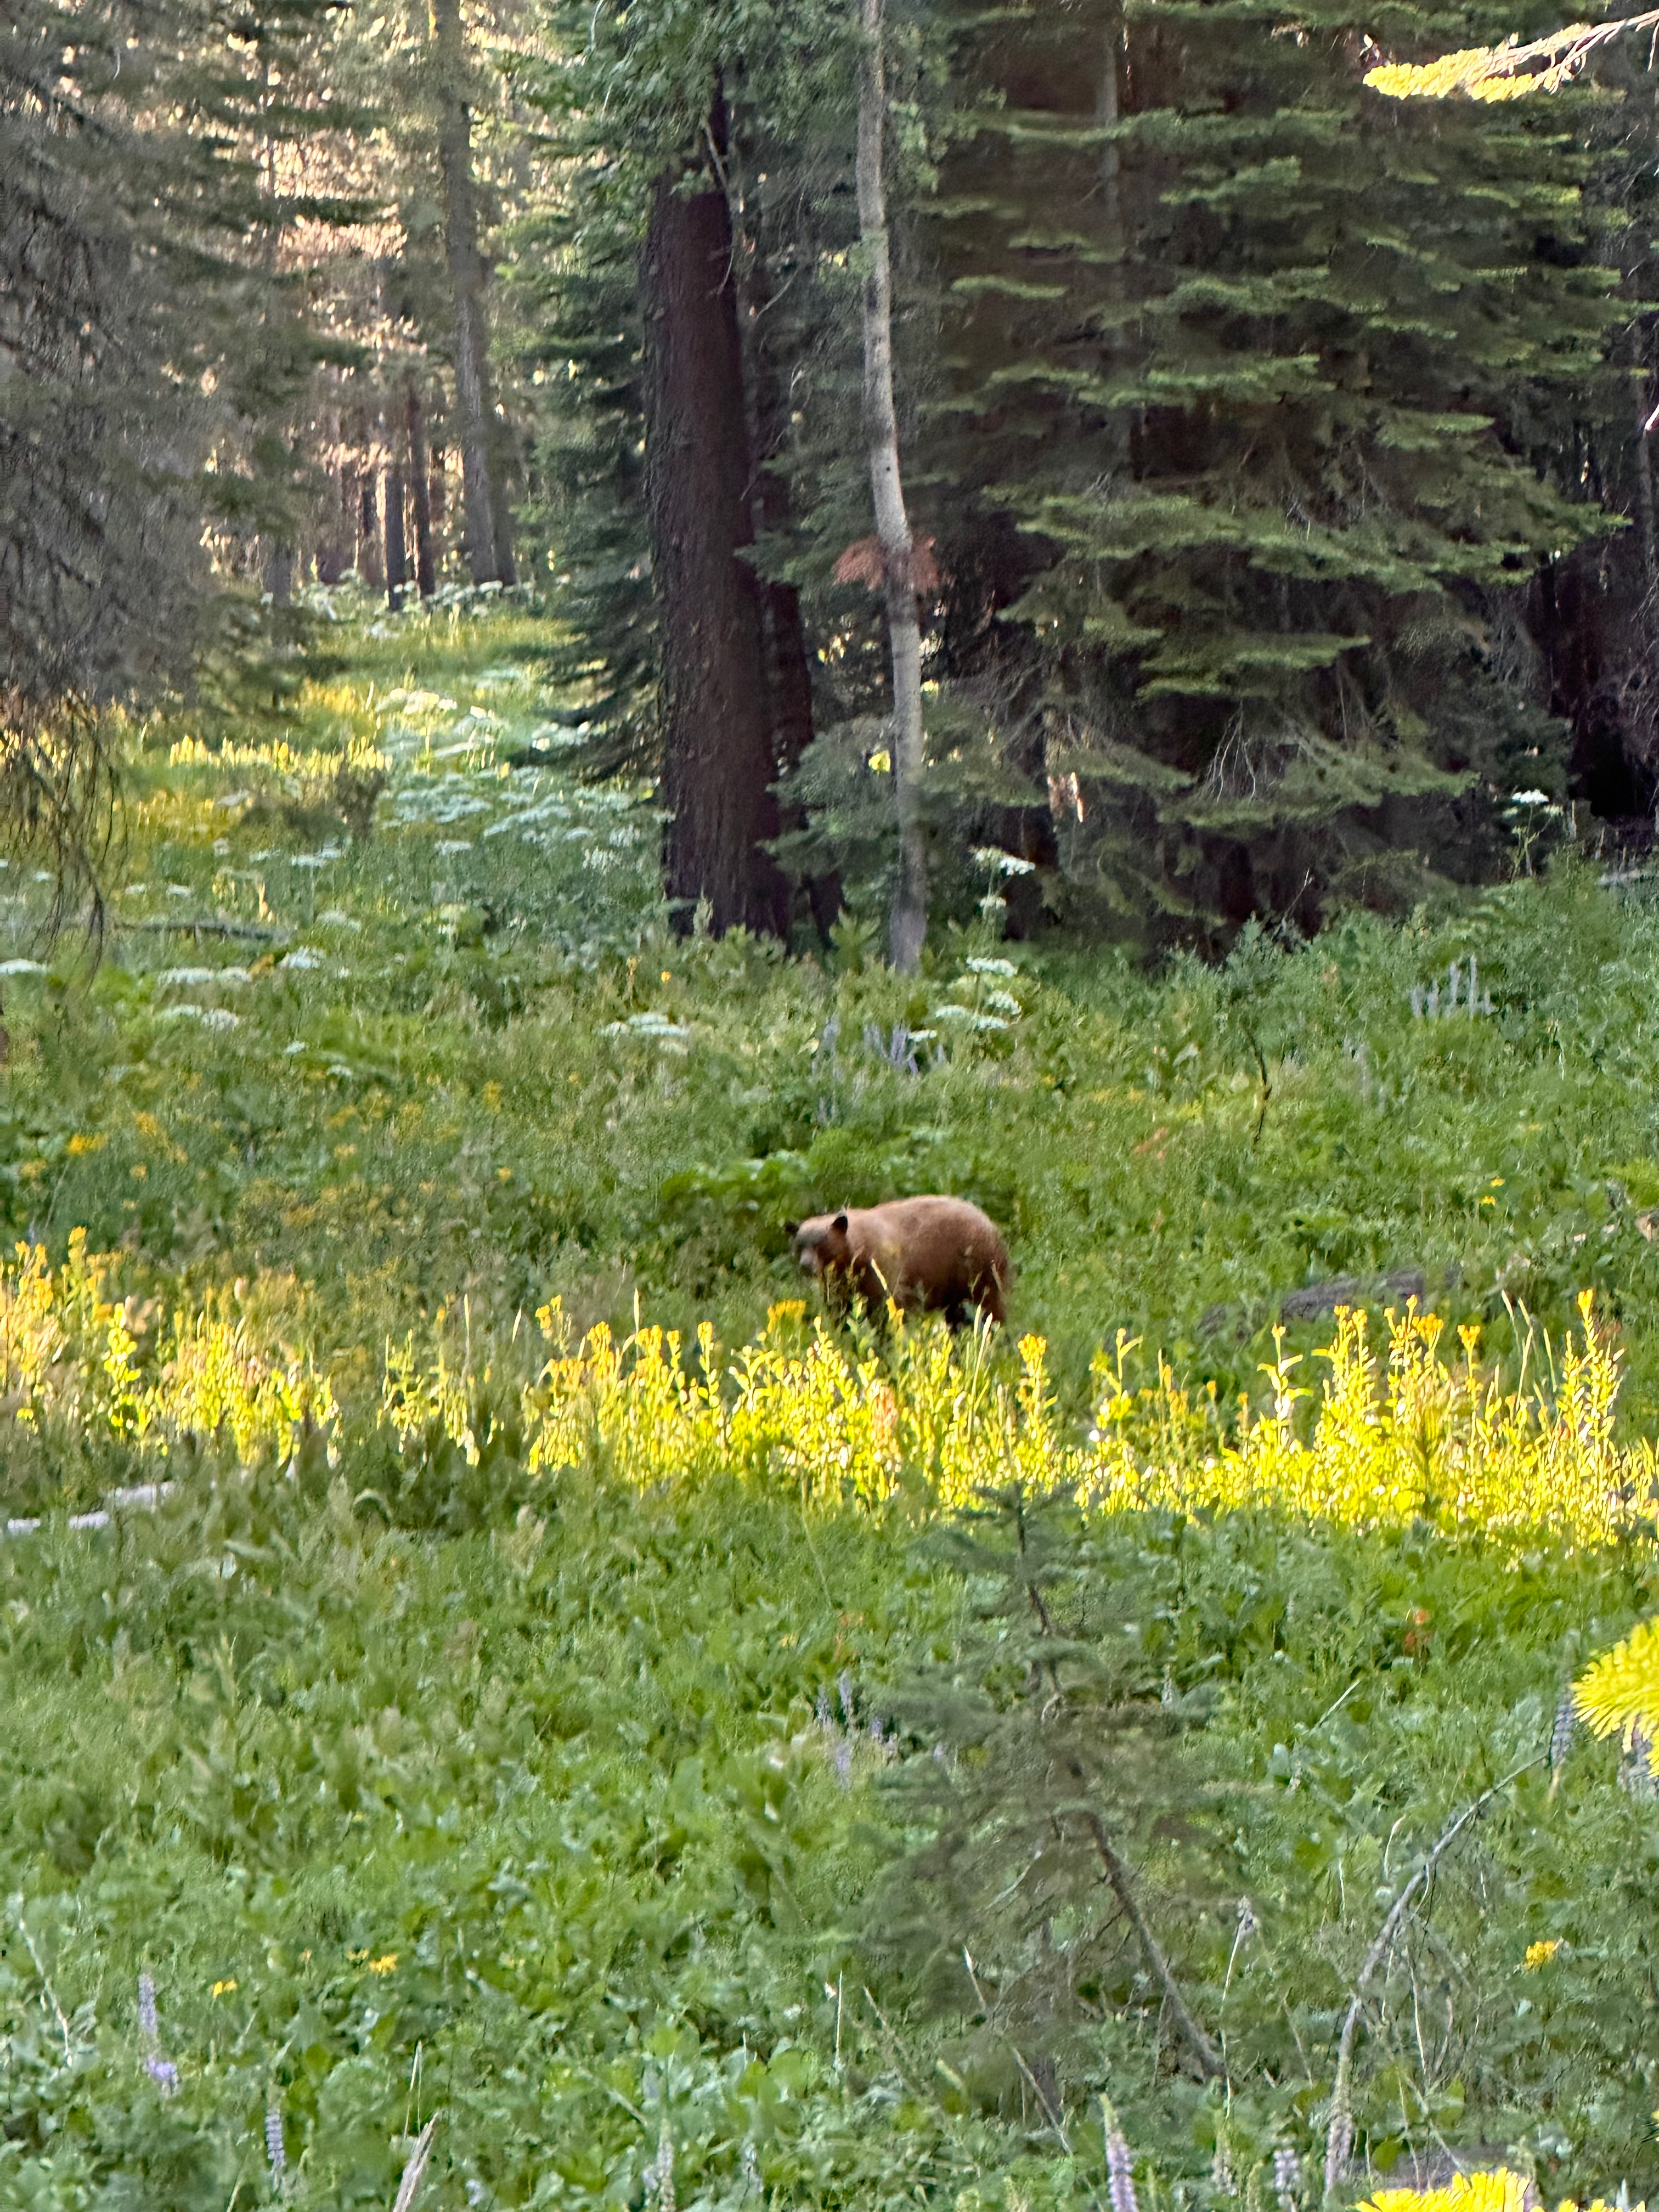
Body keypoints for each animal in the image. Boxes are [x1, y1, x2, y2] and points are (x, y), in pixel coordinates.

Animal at [791, 1195, 1011, 1328]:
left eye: (821, 1244)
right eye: (800, 1245)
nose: (806, 1266)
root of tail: (992, 1226)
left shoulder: (881, 1270)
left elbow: (887, 1311)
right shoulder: (840, 1285)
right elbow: (839, 1311)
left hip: (977, 1271)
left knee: (990, 1310)